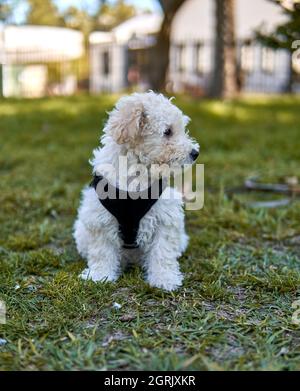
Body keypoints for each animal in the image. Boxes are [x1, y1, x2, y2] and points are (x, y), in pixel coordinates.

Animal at [73, 90, 199, 290]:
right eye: (168, 131)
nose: (195, 153)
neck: (137, 171)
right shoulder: (99, 219)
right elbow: (102, 252)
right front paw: (100, 276)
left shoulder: (165, 218)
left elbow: (162, 252)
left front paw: (164, 279)